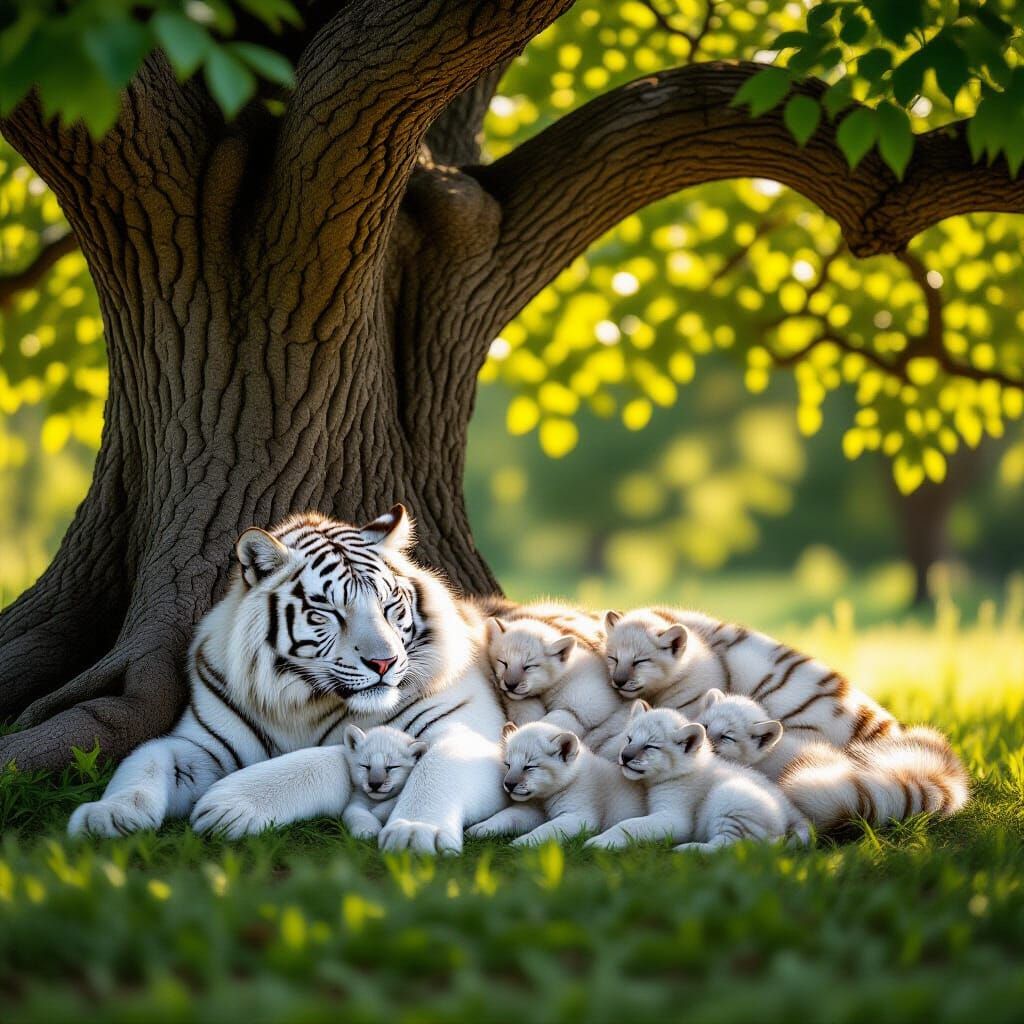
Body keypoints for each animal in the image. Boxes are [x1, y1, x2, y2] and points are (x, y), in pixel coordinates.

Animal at [67, 505, 506, 854]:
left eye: (388, 605)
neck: (299, 698)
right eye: (329, 611)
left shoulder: (466, 733)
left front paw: (415, 833)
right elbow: (147, 758)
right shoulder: (200, 747)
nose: (384, 662)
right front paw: (105, 815)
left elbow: (432, 769)